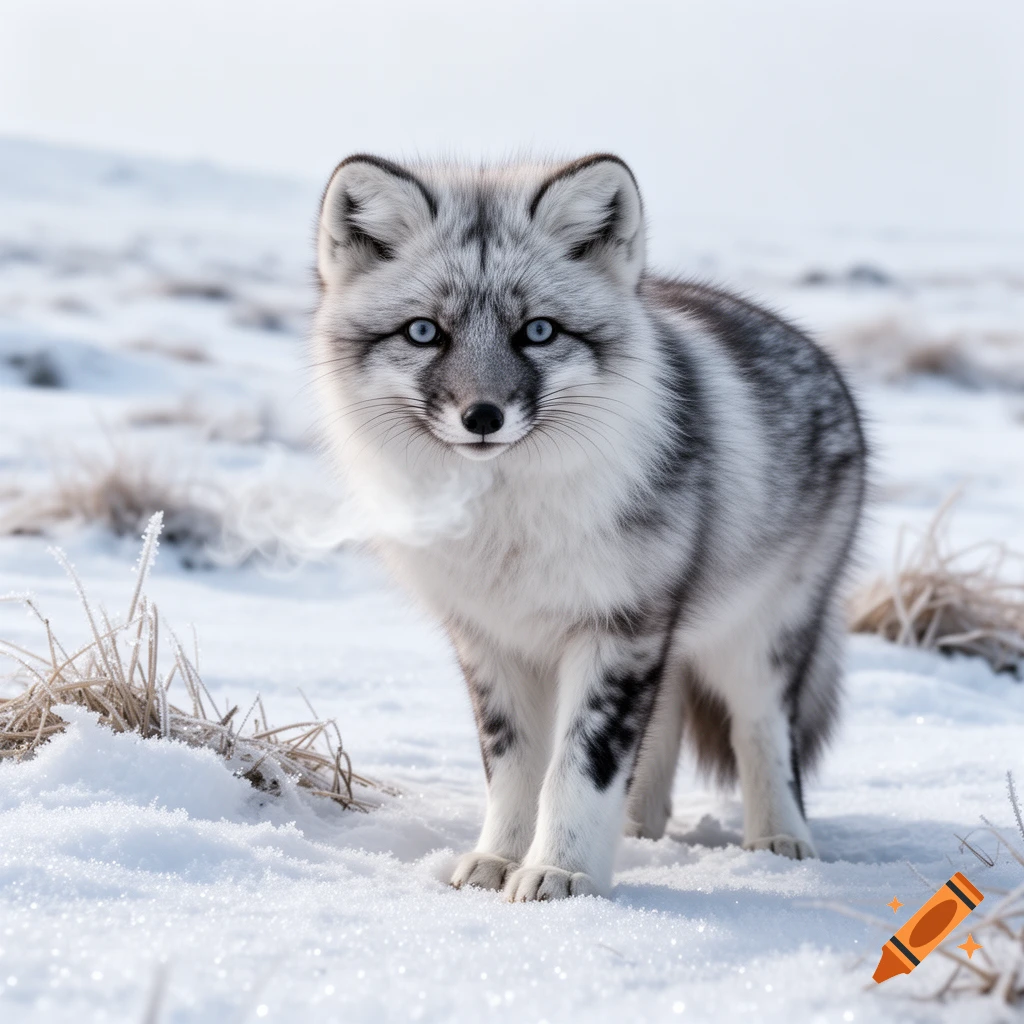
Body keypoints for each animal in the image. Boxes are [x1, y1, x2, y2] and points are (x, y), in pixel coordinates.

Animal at [311, 153, 867, 901]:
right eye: (424, 331)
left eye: (539, 331)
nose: (482, 416)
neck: (507, 526)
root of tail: (819, 356)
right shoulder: (492, 641)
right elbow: (515, 770)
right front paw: (499, 860)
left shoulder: (618, 629)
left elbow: (583, 768)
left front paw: (561, 872)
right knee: (663, 730)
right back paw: (641, 833)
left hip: (757, 641)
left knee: (764, 735)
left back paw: (778, 842)